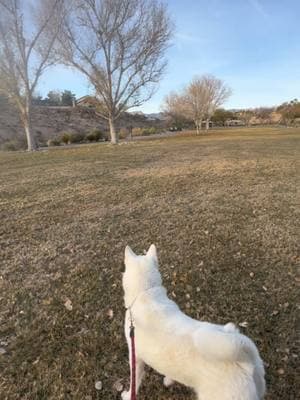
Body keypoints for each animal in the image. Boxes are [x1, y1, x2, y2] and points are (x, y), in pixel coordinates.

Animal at [121, 244, 264, 400]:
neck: (146, 293)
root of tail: (243, 363)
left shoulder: (135, 357)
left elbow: (135, 381)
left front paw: (127, 395)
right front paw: (169, 380)